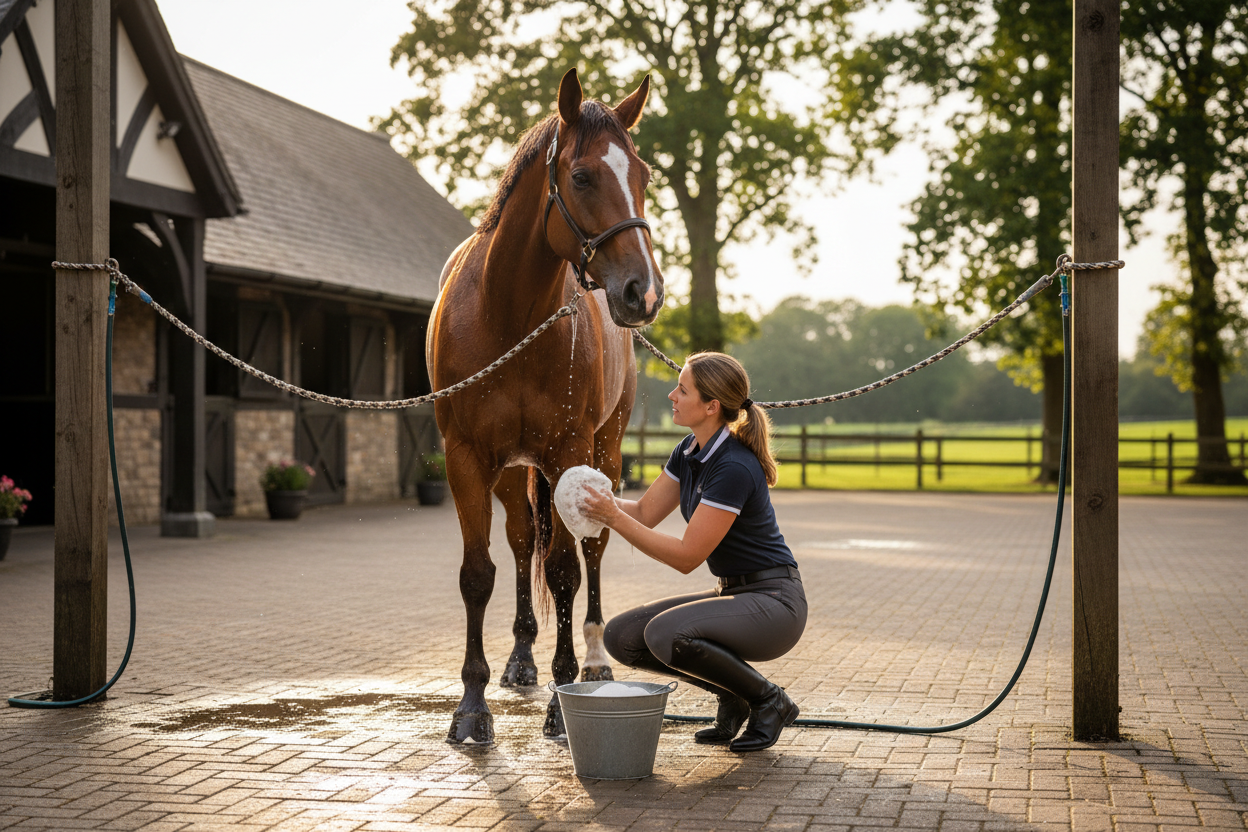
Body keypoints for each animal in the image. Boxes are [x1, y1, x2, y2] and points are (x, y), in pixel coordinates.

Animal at [427, 68, 664, 742]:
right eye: (581, 176)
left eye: (643, 176)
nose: (643, 292)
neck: (507, 316)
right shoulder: (466, 457)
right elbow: (478, 573)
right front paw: (472, 707)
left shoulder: (568, 453)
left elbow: (564, 570)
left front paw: (563, 702)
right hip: (514, 472)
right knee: (519, 540)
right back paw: (521, 658)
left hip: (602, 453)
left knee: (591, 550)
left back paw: (592, 661)